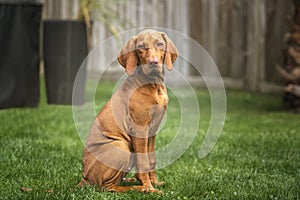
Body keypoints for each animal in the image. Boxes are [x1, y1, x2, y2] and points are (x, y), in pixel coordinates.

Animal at [79, 28, 178, 193]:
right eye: (141, 47)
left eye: (159, 44)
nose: (153, 62)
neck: (153, 85)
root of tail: (84, 178)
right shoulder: (140, 129)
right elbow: (144, 162)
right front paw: (150, 188)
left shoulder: (153, 130)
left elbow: (151, 159)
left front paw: (154, 182)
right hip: (121, 146)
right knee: (108, 187)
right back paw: (137, 187)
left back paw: (131, 180)